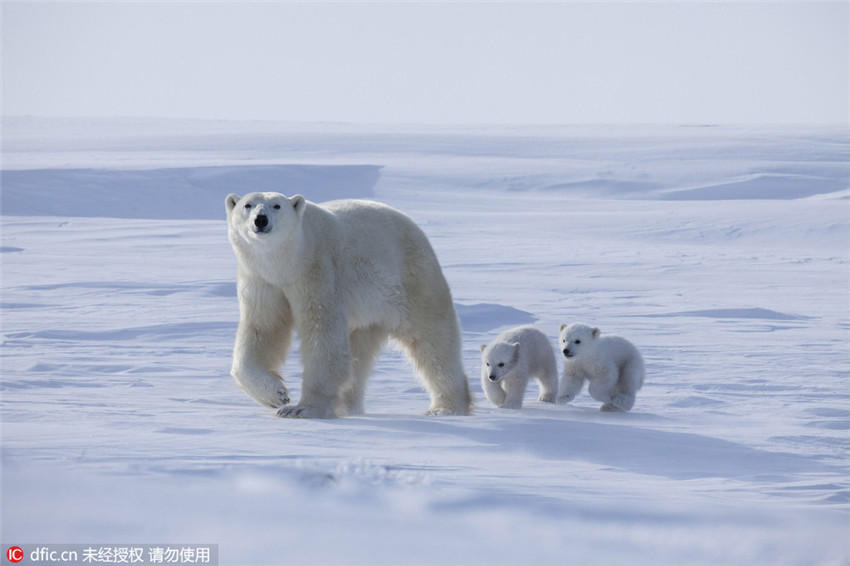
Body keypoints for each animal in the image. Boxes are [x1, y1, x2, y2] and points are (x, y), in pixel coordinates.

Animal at [225, 193, 470, 420]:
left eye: (277, 205)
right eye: (247, 205)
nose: (261, 219)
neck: (288, 263)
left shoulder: (318, 270)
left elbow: (322, 334)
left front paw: (300, 409)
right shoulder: (262, 280)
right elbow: (263, 329)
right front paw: (276, 395)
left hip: (410, 279)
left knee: (432, 341)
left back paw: (446, 407)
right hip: (368, 315)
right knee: (359, 354)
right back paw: (347, 408)